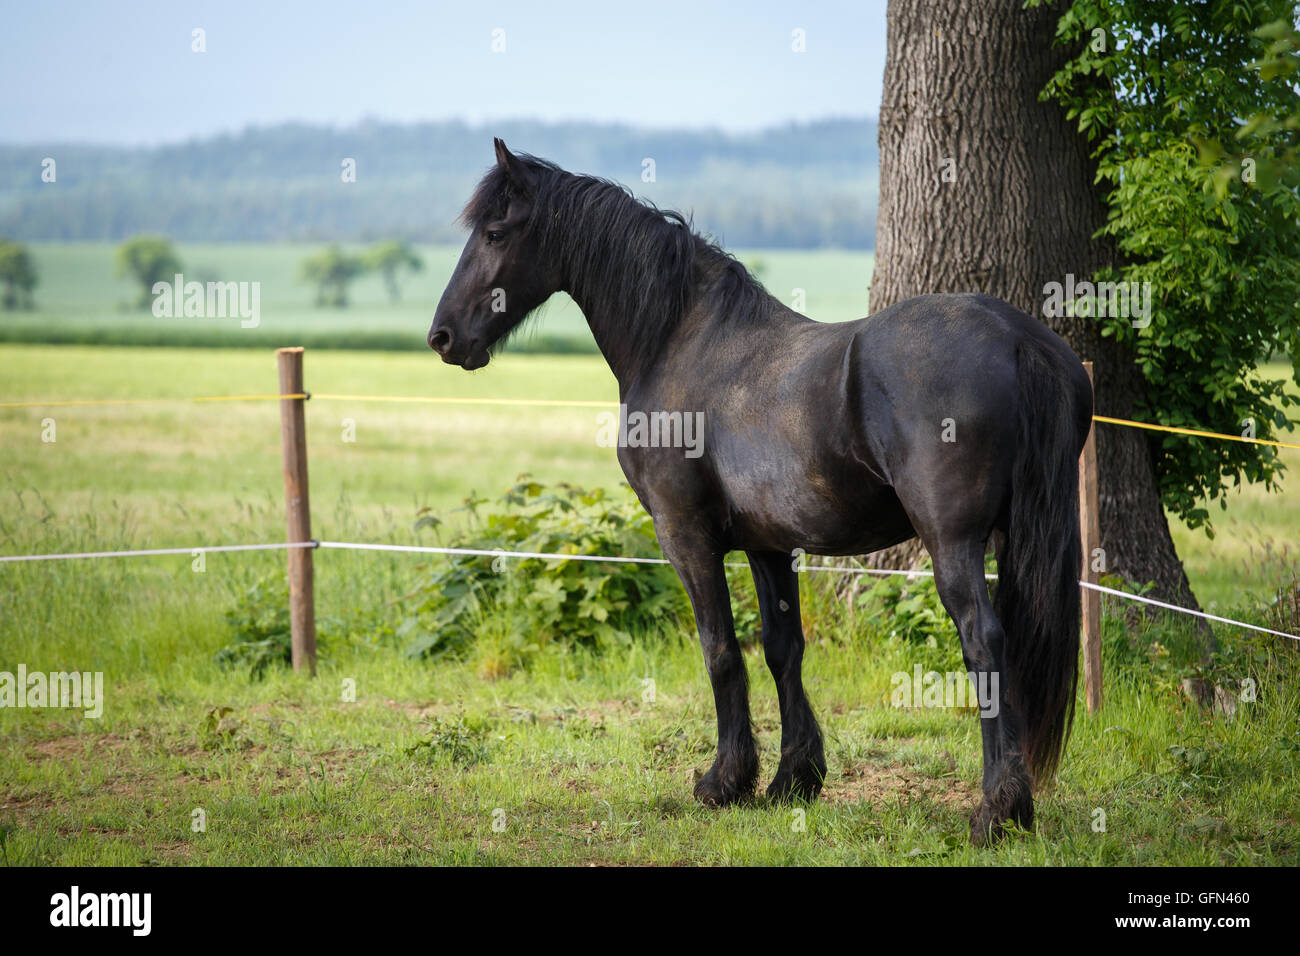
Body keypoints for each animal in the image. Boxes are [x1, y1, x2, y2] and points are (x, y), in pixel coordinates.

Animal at [428, 139, 1093, 845]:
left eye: (495, 233)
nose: (442, 337)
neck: (681, 341)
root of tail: (1018, 337)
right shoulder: (769, 545)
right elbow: (782, 650)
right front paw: (792, 779)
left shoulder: (686, 537)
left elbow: (720, 650)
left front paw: (725, 781)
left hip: (953, 541)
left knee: (983, 640)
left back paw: (996, 809)